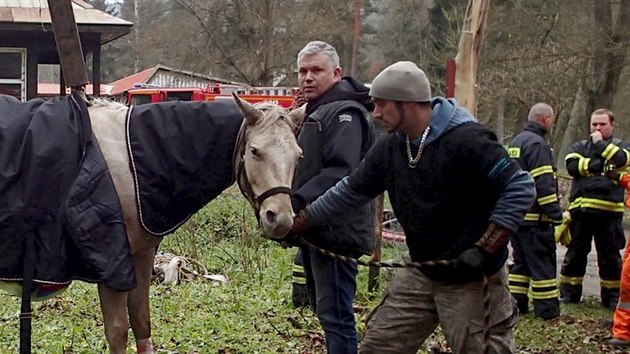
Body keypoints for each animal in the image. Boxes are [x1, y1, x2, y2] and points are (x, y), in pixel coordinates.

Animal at [87, 95, 306, 352]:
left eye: (298, 155)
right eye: (254, 151)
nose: (280, 219)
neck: (129, 166)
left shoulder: (142, 255)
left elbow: (141, 321)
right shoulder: (113, 269)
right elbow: (117, 332)